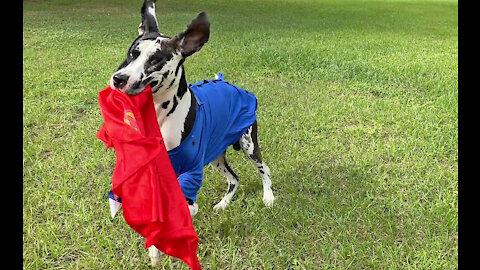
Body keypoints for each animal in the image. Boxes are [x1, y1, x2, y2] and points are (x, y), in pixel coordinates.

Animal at [109, 0, 274, 266]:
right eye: (132, 53)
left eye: (155, 61)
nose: (119, 79)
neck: (161, 118)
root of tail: (228, 83)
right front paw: (155, 247)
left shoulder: (191, 173)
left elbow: (184, 208)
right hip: (216, 156)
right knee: (234, 179)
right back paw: (224, 203)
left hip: (249, 144)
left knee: (264, 169)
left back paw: (268, 197)